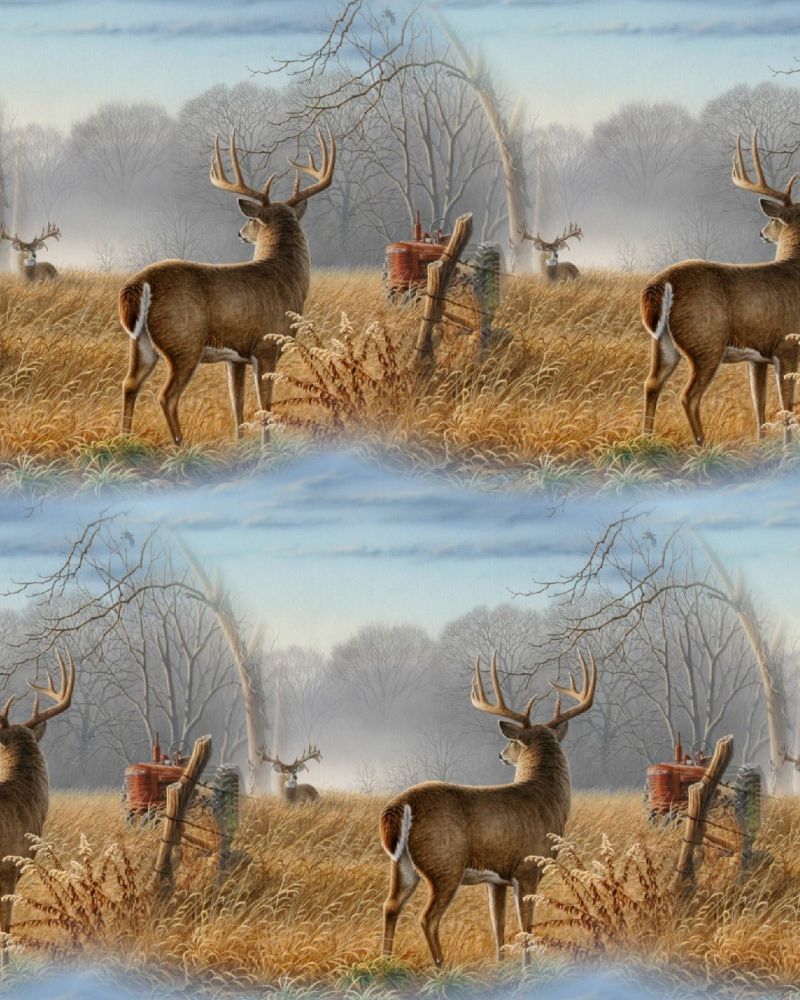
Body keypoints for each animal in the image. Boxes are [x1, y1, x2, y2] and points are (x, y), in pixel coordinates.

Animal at [118, 128, 336, 447]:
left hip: (141, 342)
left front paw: (240, 443)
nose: (240, 233)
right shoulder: (267, 346)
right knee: (166, 396)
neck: (286, 275)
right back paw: (181, 444)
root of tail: (140, 283)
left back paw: (124, 439)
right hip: (184, 343)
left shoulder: (236, 358)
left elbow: (238, 403)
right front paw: (265, 448)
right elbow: (264, 405)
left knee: (130, 384)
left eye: (251, 220)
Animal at [380, 650, 597, 968]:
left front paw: (501, 965)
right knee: (427, 918)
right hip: (444, 865)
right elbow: (525, 927)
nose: (501, 754)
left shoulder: (497, 880)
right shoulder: (528, 867)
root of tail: (401, 805)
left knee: (390, 906)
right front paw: (526, 970)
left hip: (402, 864)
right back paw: (442, 966)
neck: (547, 797)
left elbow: (499, 925)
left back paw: (384, 962)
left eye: (512, 741)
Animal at [642, 132, 800, 447]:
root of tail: (662, 284)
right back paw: (703, 445)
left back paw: (645, 440)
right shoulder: (788, 345)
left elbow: (759, 403)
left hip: (663, 343)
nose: (762, 233)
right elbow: (786, 406)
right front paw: (788, 449)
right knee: (688, 396)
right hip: (705, 344)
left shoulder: (758, 357)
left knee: (651, 384)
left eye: (773, 219)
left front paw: (761, 444)